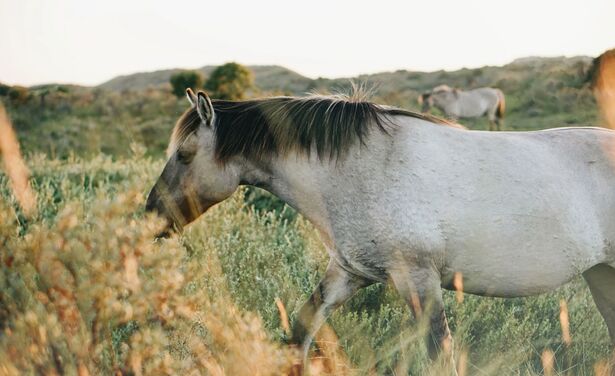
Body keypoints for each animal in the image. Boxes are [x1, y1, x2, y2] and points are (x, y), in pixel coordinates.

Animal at [147, 88, 615, 370]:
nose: (151, 216)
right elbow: (300, 334)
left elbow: (440, 355)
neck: (360, 169)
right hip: (602, 275)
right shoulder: (348, 273)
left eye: (185, 154)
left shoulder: (418, 279)